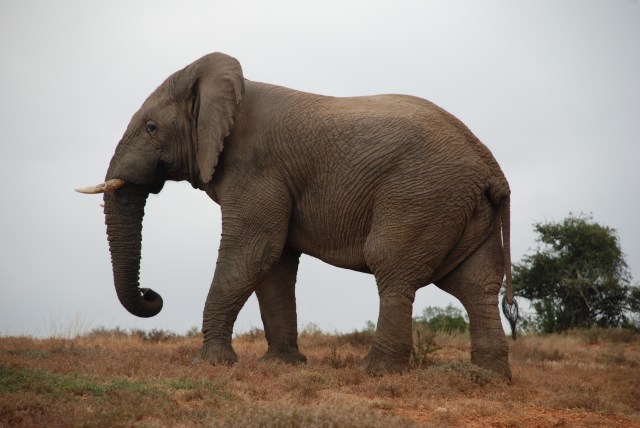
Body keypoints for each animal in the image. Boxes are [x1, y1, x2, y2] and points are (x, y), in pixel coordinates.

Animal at [76, 52, 516, 378]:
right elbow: (274, 264)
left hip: (420, 194)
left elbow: (253, 251)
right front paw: (282, 365)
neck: (229, 91)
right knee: (475, 284)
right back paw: (488, 377)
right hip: (461, 205)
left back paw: (376, 372)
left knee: (393, 269)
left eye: (151, 128)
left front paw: (211, 364)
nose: (152, 294)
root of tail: (490, 165)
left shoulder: (257, 168)